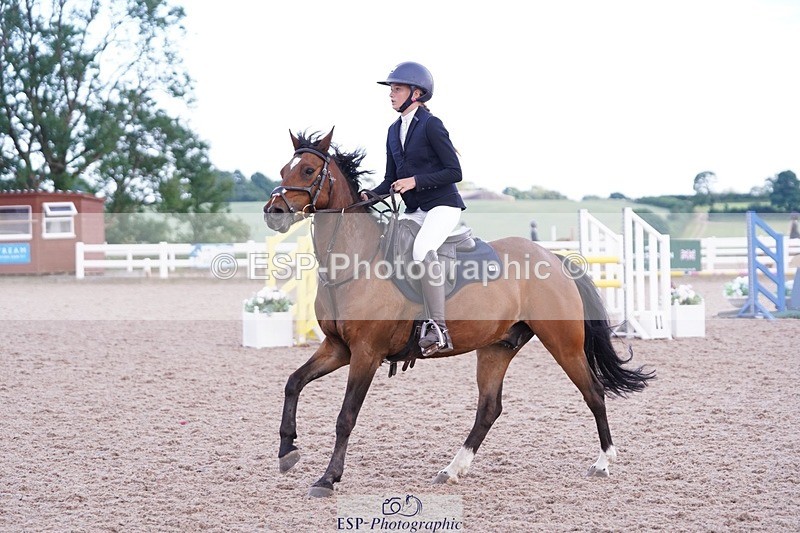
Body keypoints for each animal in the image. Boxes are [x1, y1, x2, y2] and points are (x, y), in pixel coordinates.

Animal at [263, 128, 654, 498]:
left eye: (308, 170)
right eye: (283, 169)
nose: (274, 213)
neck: (356, 262)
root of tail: (553, 258)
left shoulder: (365, 354)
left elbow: (345, 417)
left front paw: (327, 479)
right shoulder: (337, 348)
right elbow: (293, 382)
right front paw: (287, 451)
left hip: (564, 344)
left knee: (594, 392)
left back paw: (603, 462)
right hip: (497, 348)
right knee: (489, 408)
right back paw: (452, 469)